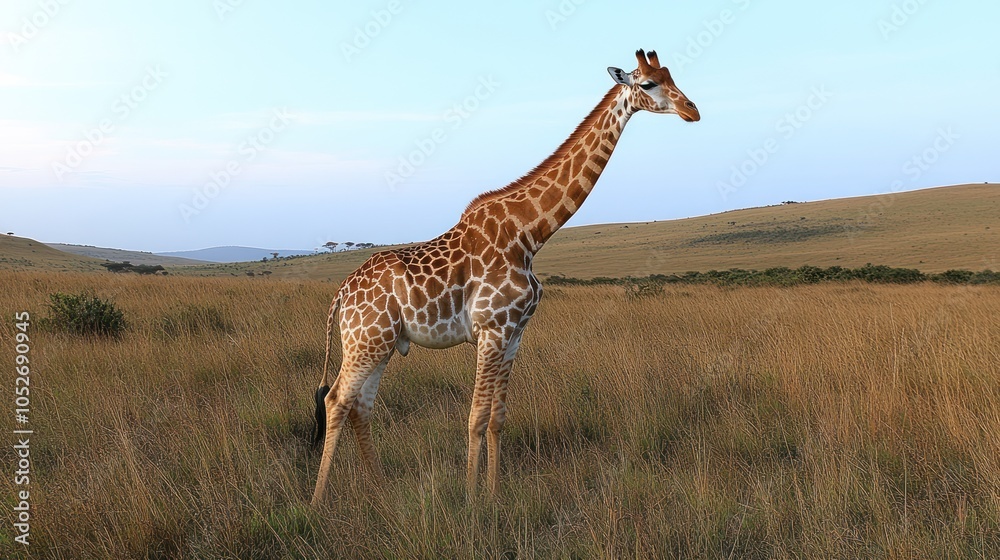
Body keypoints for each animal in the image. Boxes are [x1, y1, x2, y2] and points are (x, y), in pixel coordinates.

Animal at [310, 49, 699, 505]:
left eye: (671, 76)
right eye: (648, 84)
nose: (692, 110)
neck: (529, 234)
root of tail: (341, 293)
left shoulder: (515, 333)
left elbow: (497, 417)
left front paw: (494, 494)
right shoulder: (491, 329)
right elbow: (476, 416)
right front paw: (470, 500)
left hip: (383, 343)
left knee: (361, 405)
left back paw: (379, 489)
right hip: (366, 340)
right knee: (336, 400)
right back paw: (318, 501)